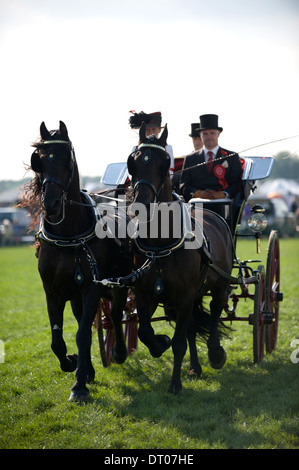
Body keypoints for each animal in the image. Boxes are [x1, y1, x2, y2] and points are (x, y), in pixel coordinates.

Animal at [24, 121, 129, 400]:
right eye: (39, 160)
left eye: (66, 159)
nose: (50, 204)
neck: (68, 235)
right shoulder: (52, 292)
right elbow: (57, 340)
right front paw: (72, 364)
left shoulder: (92, 287)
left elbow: (82, 335)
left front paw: (79, 386)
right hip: (74, 294)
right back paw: (88, 369)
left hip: (119, 284)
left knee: (117, 314)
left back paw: (119, 352)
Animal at [126, 123, 234, 394]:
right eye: (134, 161)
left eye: (164, 162)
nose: (141, 204)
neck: (161, 243)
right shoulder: (145, 293)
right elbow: (145, 331)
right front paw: (159, 343)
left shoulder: (185, 295)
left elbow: (179, 343)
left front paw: (175, 384)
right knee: (192, 328)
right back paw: (195, 368)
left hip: (219, 284)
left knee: (215, 311)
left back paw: (215, 353)